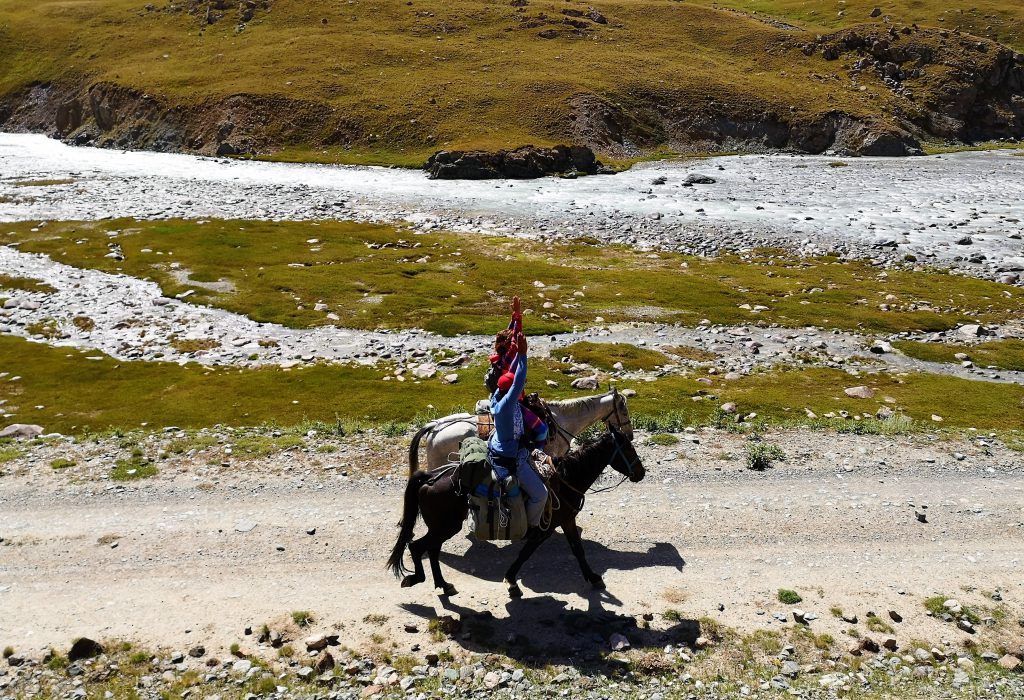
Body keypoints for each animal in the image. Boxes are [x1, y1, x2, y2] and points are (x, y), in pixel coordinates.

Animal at [387, 423, 643, 597]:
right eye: (629, 449)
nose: (641, 473)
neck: (566, 479)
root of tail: (430, 477)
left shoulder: (566, 521)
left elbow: (577, 550)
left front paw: (593, 578)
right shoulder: (544, 529)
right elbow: (525, 554)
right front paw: (511, 581)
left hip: (443, 527)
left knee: (432, 549)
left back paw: (444, 585)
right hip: (446, 526)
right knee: (418, 546)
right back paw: (417, 579)